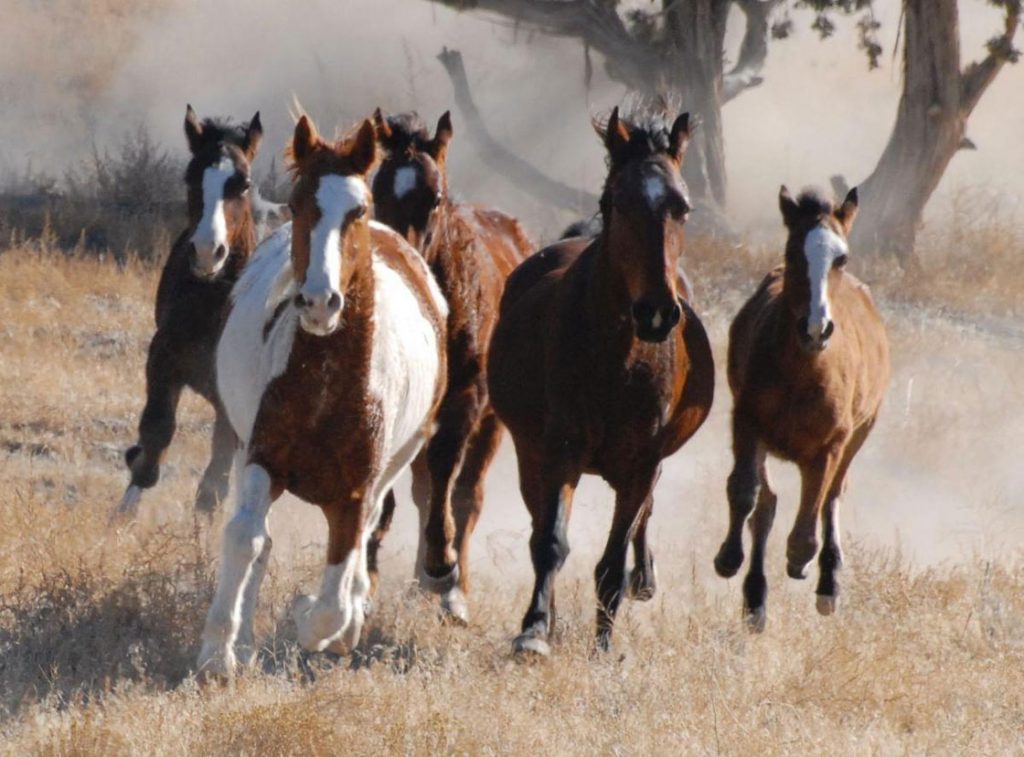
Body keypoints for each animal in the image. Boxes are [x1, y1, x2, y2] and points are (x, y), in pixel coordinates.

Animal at [117, 105, 264, 518]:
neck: (213, 304)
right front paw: (125, 506)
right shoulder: (163, 355)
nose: (207, 252)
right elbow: (157, 428)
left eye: (243, 183)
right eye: (190, 177)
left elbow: (216, 475)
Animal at [197, 114, 449, 677]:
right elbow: (247, 538)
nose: (318, 301)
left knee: (365, 539)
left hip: (398, 462)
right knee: (260, 539)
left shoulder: (355, 491)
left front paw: (316, 619)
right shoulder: (262, 457)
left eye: (357, 209)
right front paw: (219, 652)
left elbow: (336, 589)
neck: (327, 390)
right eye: (296, 205)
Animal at [368, 109, 532, 623]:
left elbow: (447, 476)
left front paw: (443, 564)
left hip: (492, 421)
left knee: (466, 495)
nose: (400, 258)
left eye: (434, 197)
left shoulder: (467, 399)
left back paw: (452, 586)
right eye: (377, 190)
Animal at [487, 106, 715, 655]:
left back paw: (644, 579)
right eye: (616, 201)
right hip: (531, 452)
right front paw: (534, 631)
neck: (617, 360)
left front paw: (605, 645)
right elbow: (549, 541)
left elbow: (613, 561)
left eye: (682, 207)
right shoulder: (560, 452)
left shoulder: (641, 463)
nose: (656, 313)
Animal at [713, 186, 890, 631]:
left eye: (841, 258)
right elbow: (747, 493)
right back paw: (755, 599)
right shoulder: (748, 421)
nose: (816, 329)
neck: (803, 370)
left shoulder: (832, 443)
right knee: (767, 505)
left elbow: (812, 514)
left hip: (861, 432)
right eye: (794, 252)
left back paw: (827, 583)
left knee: (831, 497)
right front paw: (729, 558)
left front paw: (803, 562)